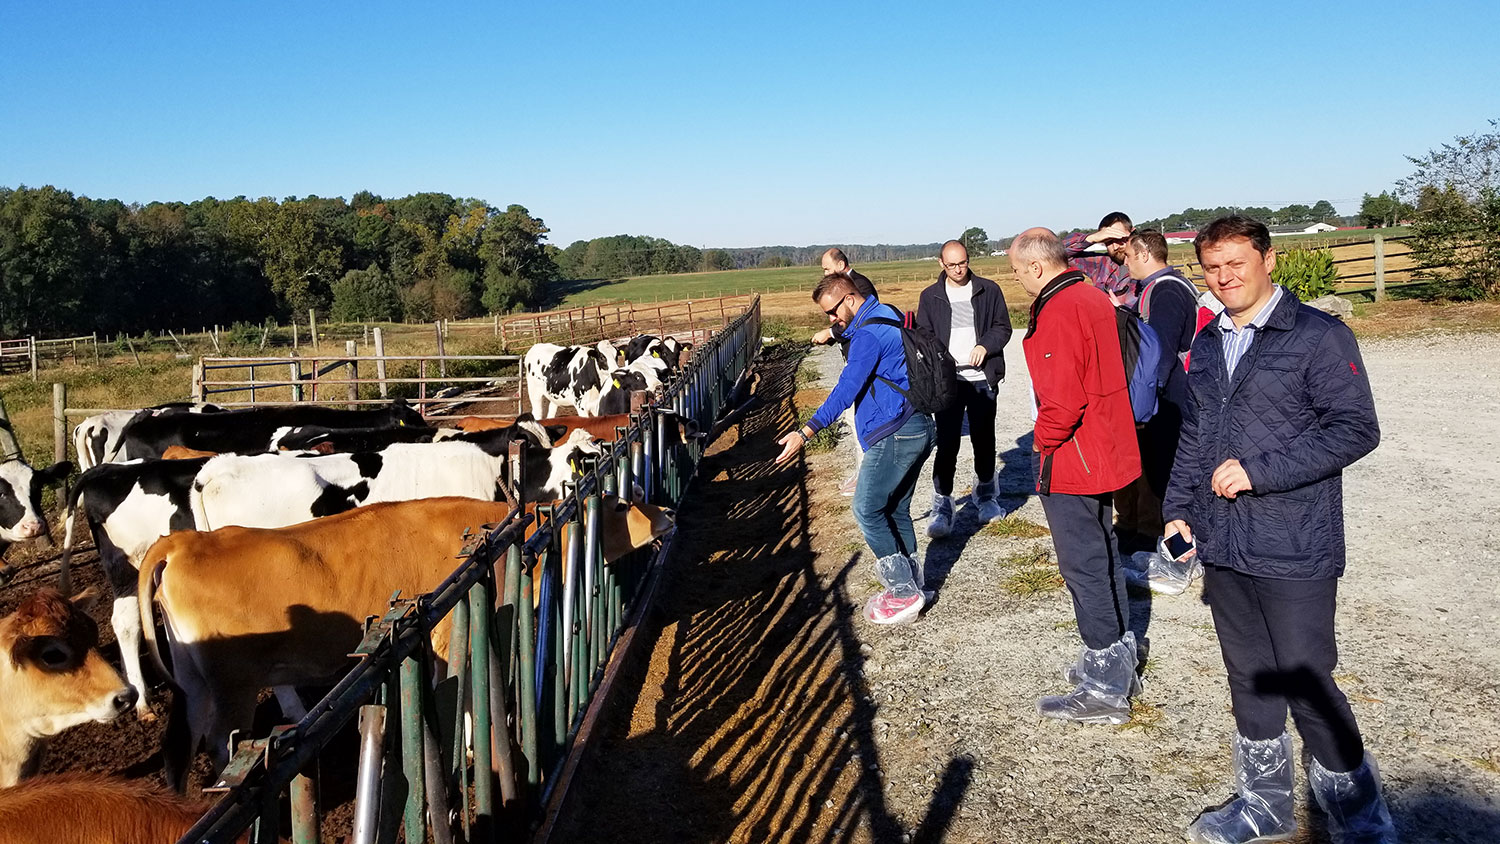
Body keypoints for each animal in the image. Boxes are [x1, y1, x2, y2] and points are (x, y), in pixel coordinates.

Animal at [141, 494, 675, 785]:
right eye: (621, 504)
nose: (667, 513)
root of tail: (186, 541)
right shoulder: (450, 635)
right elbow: (466, 695)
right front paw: (475, 754)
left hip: (195, 683)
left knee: (179, 745)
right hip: (233, 685)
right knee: (217, 743)